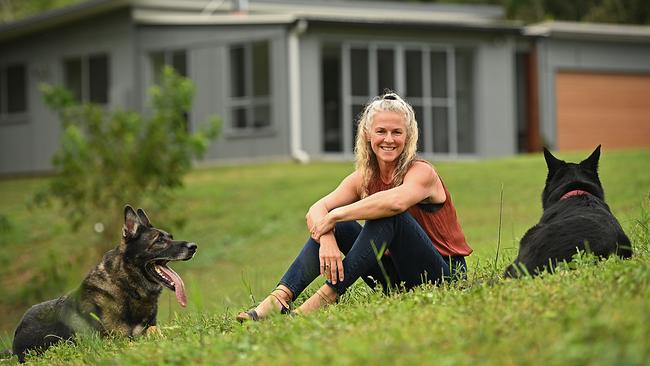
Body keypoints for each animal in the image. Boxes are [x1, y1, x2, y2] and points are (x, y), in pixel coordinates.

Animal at [7, 204, 196, 362]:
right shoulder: (108, 341)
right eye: (159, 241)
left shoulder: (149, 326)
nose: (194, 246)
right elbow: (130, 341)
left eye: (170, 237)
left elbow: (155, 330)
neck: (127, 287)